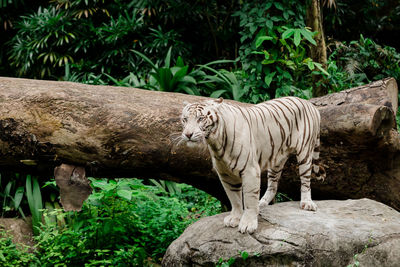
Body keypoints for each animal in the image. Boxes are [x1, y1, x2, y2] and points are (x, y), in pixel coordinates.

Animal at [180, 97, 324, 234]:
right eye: (185, 119)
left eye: (200, 118)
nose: (188, 134)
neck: (216, 142)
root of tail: (309, 104)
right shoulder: (225, 174)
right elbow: (234, 198)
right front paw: (235, 218)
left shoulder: (250, 170)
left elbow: (249, 199)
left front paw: (248, 224)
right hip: (277, 159)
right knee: (273, 185)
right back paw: (262, 203)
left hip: (305, 152)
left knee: (305, 180)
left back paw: (307, 203)